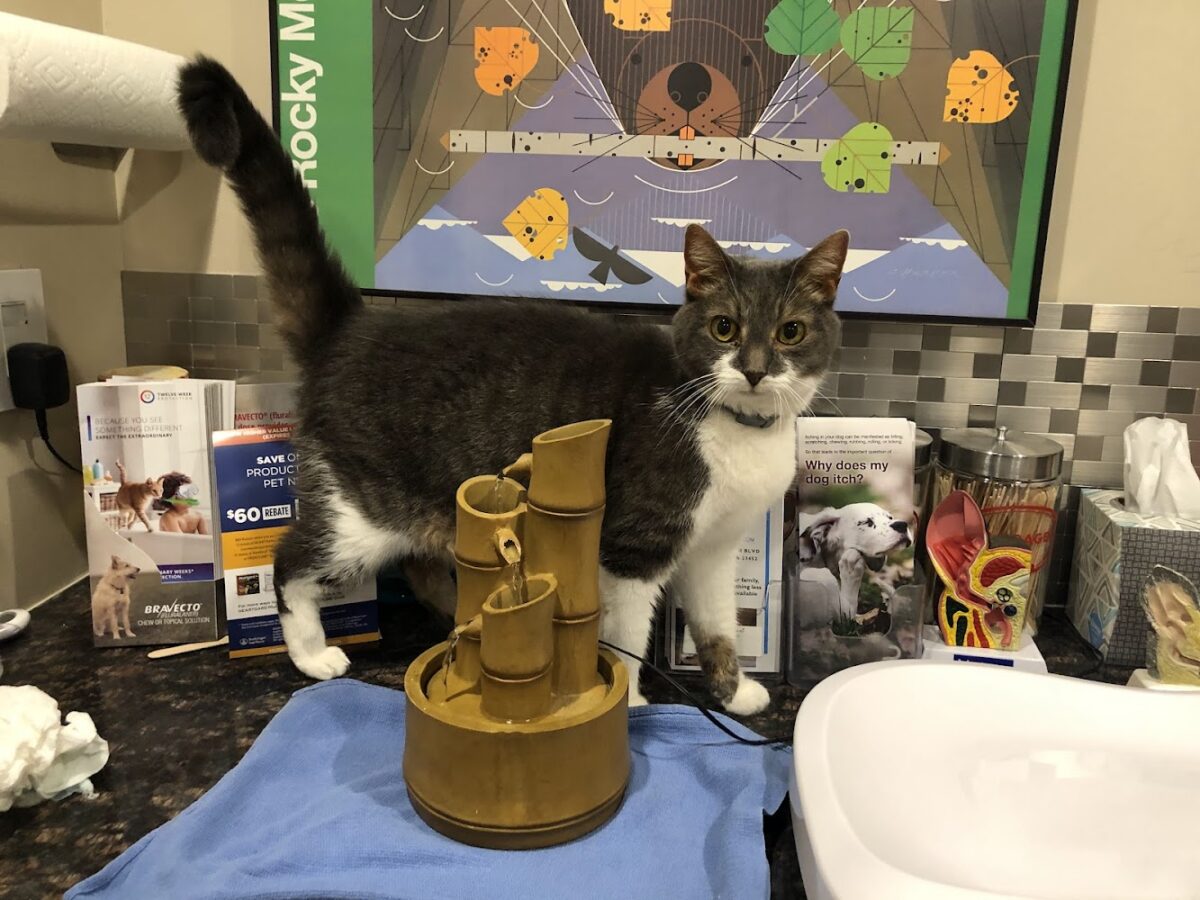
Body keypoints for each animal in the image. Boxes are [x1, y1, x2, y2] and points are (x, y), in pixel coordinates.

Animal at [177, 57, 846, 714]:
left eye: (789, 332)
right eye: (724, 327)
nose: (755, 368)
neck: (736, 428)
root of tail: (350, 325)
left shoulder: (713, 550)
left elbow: (716, 624)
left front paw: (735, 690)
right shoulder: (634, 547)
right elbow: (628, 634)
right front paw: (629, 702)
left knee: (420, 566)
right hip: (360, 511)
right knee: (291, 559)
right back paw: (314, 654)